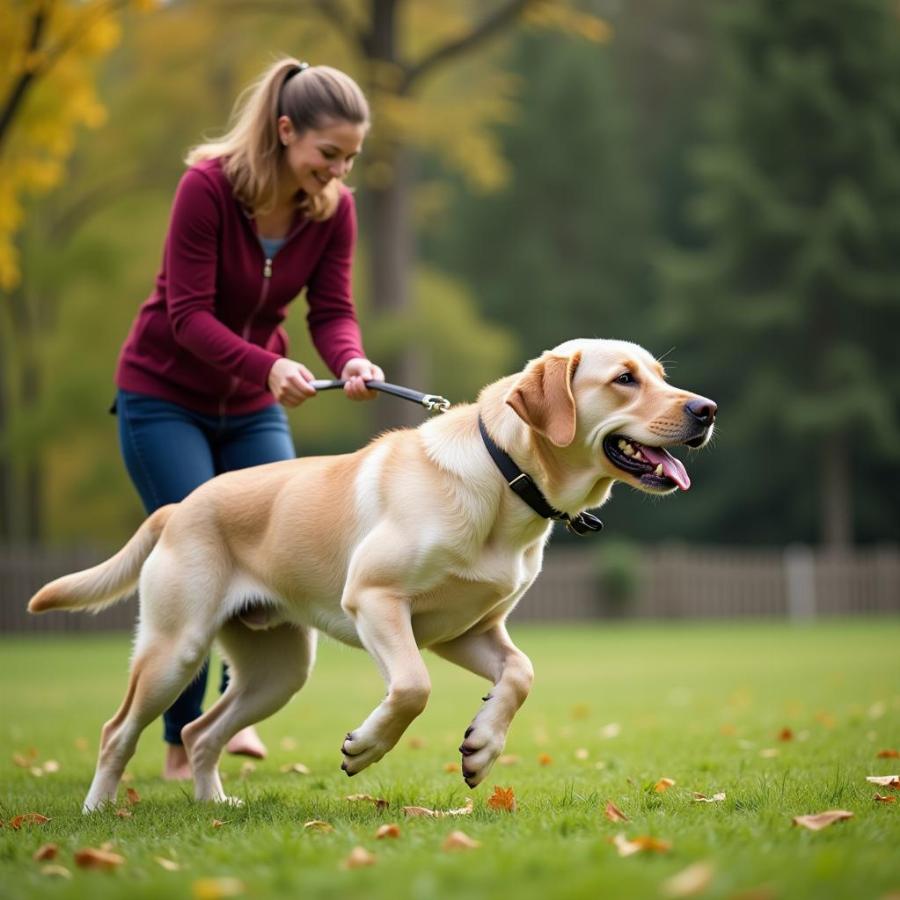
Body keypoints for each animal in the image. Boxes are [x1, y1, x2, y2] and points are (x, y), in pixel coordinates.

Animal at [29, 336, 716, 808]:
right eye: (624, 379)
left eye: (660, 376)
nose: (708, 409)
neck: (505, 477)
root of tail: (180, 505)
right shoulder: (375, 600)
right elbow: (412, 686)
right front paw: (364, 749)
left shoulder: (466, 630)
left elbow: (521, 673)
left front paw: (481, 747)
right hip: (175, 649)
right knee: (117, 731)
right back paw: (99, 812)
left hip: (277, 672)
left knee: (200, 732)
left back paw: (216, 806)